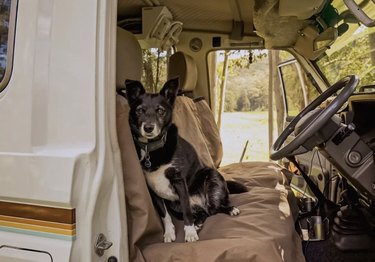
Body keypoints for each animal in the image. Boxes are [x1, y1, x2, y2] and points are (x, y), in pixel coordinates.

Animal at [123, 78, 247, 244]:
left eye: (160, 110)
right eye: (139, 110)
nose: (148, 128)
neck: (152, 149)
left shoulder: (179, 180)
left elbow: (187, 211)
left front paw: (189, 233)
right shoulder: (152, 189)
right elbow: (164, 215)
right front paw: (169, 232)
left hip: (213, 178)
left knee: (214, 209)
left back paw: (228, 210)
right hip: (175, 206)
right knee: (205, 213)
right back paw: (198, 223)